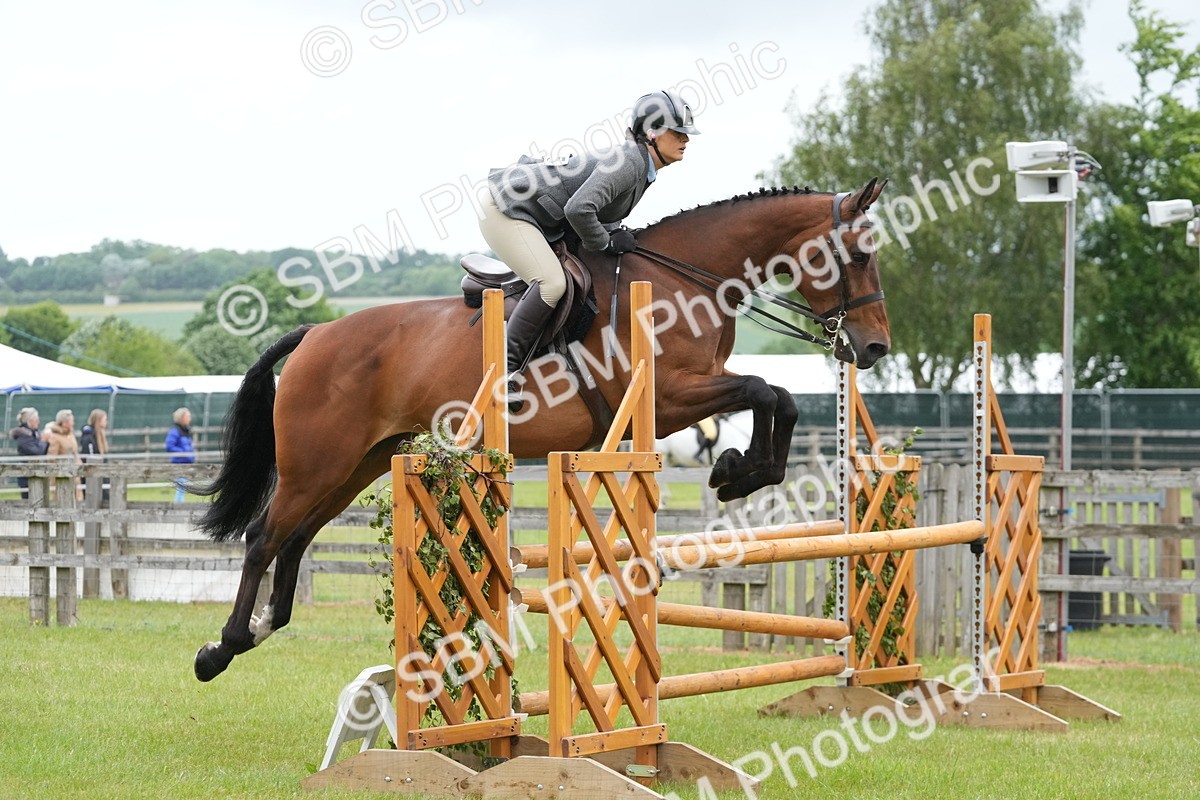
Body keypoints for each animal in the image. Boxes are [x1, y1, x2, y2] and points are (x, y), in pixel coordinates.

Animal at [191, 178, 891, 681]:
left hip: (358, 463)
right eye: (858, 255)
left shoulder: (688, 393)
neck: (684, 279)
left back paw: (262, 628)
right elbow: (762, 390)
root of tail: (316, 332)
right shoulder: (667, 398)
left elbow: (779, 398)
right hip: (318, 463)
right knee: (262, 537)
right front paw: (734, 470)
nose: (875, 348)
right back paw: (220, 649)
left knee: (294, 539)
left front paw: (741, 471)